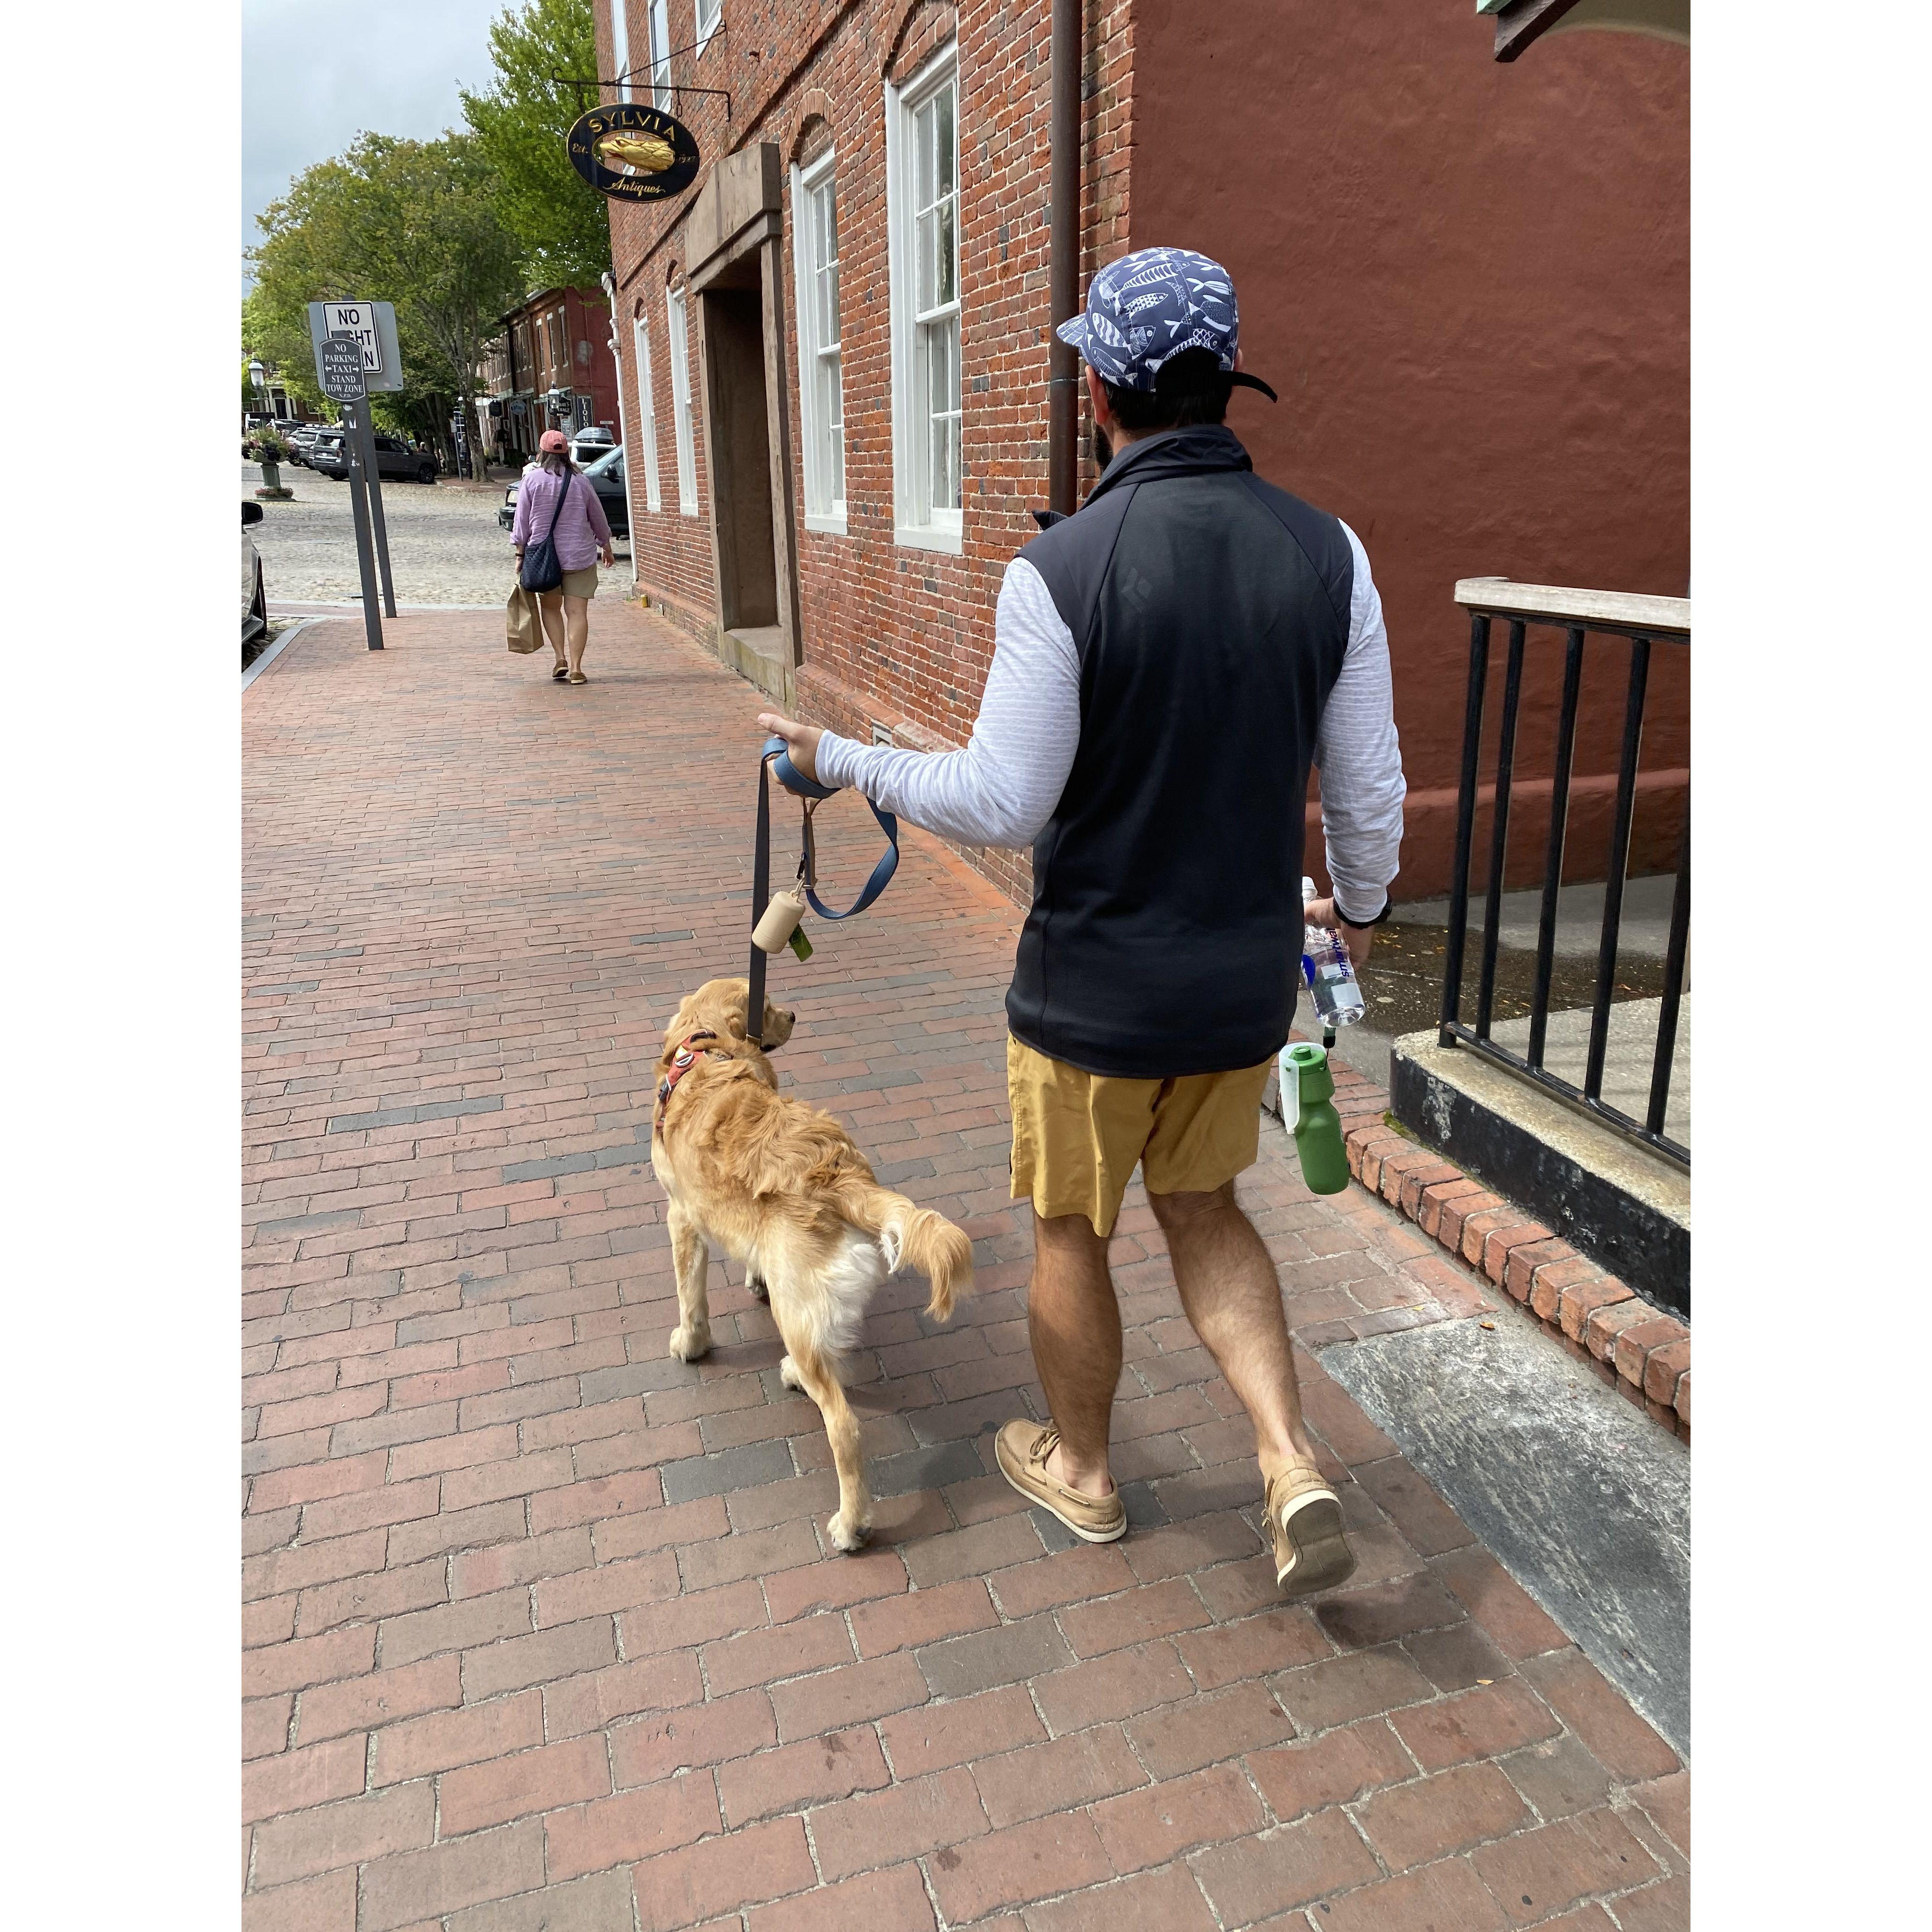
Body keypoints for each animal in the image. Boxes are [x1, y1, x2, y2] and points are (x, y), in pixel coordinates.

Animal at [656, 974, 974, 1545]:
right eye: (767, 1005)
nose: (795, 1016)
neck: (705, 1049)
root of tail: (839, 1175)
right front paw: (750, 1279)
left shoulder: (681, 1218)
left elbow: (690, 1299)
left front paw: (691, 1345)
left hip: (796, 1308)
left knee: (843, 1424)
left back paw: (852, 1525)